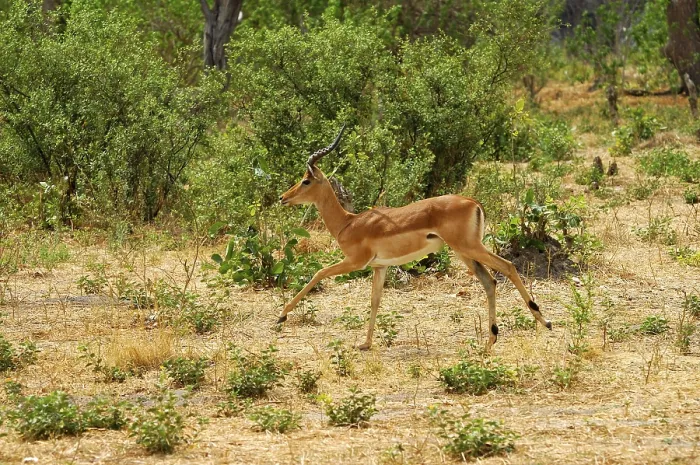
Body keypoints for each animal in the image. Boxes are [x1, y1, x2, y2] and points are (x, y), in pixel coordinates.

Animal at [277, 126, 552, 350]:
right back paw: (491, 339)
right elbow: (375, 300)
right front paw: (365, 343)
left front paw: (281, 315)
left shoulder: (356, 262)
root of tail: (473, 202)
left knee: (508, 266)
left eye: (306, 180)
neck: (348, 222)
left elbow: (318, 273)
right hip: (464, 252)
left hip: (469, 247)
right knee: (490, 281)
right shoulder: (379, 267)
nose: (283, 197)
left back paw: (545, 321)